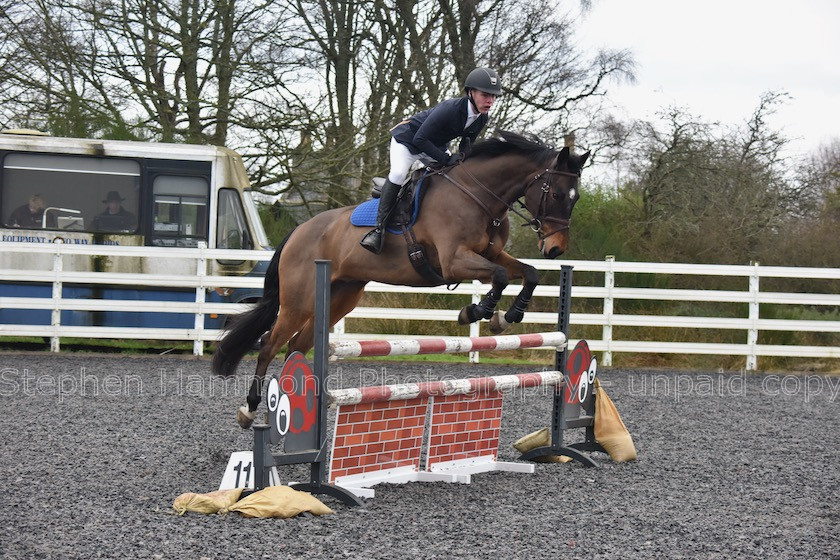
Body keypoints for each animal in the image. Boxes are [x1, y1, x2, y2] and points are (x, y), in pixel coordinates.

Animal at [213, 132, 588, 428]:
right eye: (557, 193)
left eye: (577, 198)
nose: (555, 248)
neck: (478, 195)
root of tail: (299, 231)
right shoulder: (454, 262)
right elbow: (497, 276)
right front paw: (477, 312)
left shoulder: (492, 254)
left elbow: (527, 273)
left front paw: (508, 316)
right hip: (299, 301)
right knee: (269, 345)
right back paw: (249, 410)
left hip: (339, 298)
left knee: (296, 347)